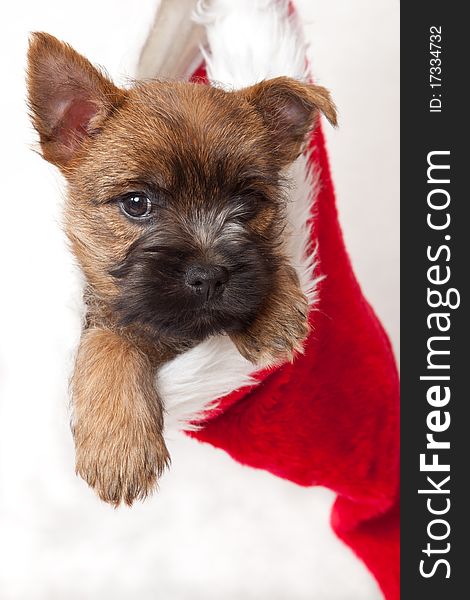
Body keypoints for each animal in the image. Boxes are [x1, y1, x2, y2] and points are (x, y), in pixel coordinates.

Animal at [25, 32, 336, 506]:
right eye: (136, 203)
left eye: (250, 201)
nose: (209, 276)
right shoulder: (102, 317)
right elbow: (107, 343)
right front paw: (119, 447)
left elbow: (271, 259)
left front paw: (274, 313)